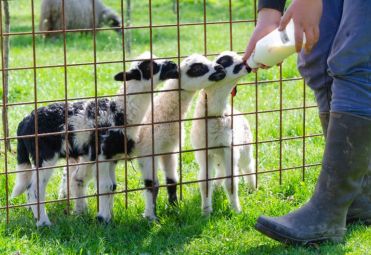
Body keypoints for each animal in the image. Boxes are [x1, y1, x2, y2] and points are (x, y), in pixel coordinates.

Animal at [11, 52, 179, 227]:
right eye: (149, 66)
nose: (173, 65)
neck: (120, 112)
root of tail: (24, 123)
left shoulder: (112, 156)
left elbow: (112, 186)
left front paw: (107, 217)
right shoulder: (102, 153)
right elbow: (106, 185)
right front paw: (103, 220)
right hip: (45, 155)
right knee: (34, 189)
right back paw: (44, 223)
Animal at [190, 51, 258, 215]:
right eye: (225, 60)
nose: (247, 64)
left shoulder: (230, 149)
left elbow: (231, 182)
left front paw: (236, 211)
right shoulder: (205, 152)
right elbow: (205, 182)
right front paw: (206, 212)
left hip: (245, 147)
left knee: (248, 166)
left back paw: (253, 188)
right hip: (219, 154)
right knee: (221, 171)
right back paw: (216, 186)